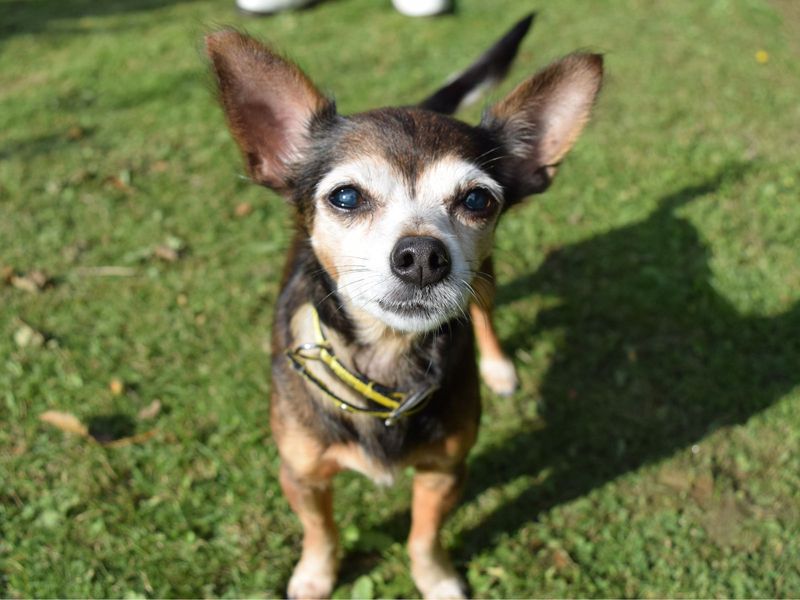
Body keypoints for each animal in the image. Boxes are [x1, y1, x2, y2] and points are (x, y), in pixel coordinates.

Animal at [206, 15, 600, 600]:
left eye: (478, 200)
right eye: (346, 197)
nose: (421, 256)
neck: (387, 359)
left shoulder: (445, 471)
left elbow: (423, 535)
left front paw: (435, 580)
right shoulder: (300, 475)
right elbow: (321, 531)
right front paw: (315, 576)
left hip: (485, 279)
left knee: (485, 314)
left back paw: (499, 368)